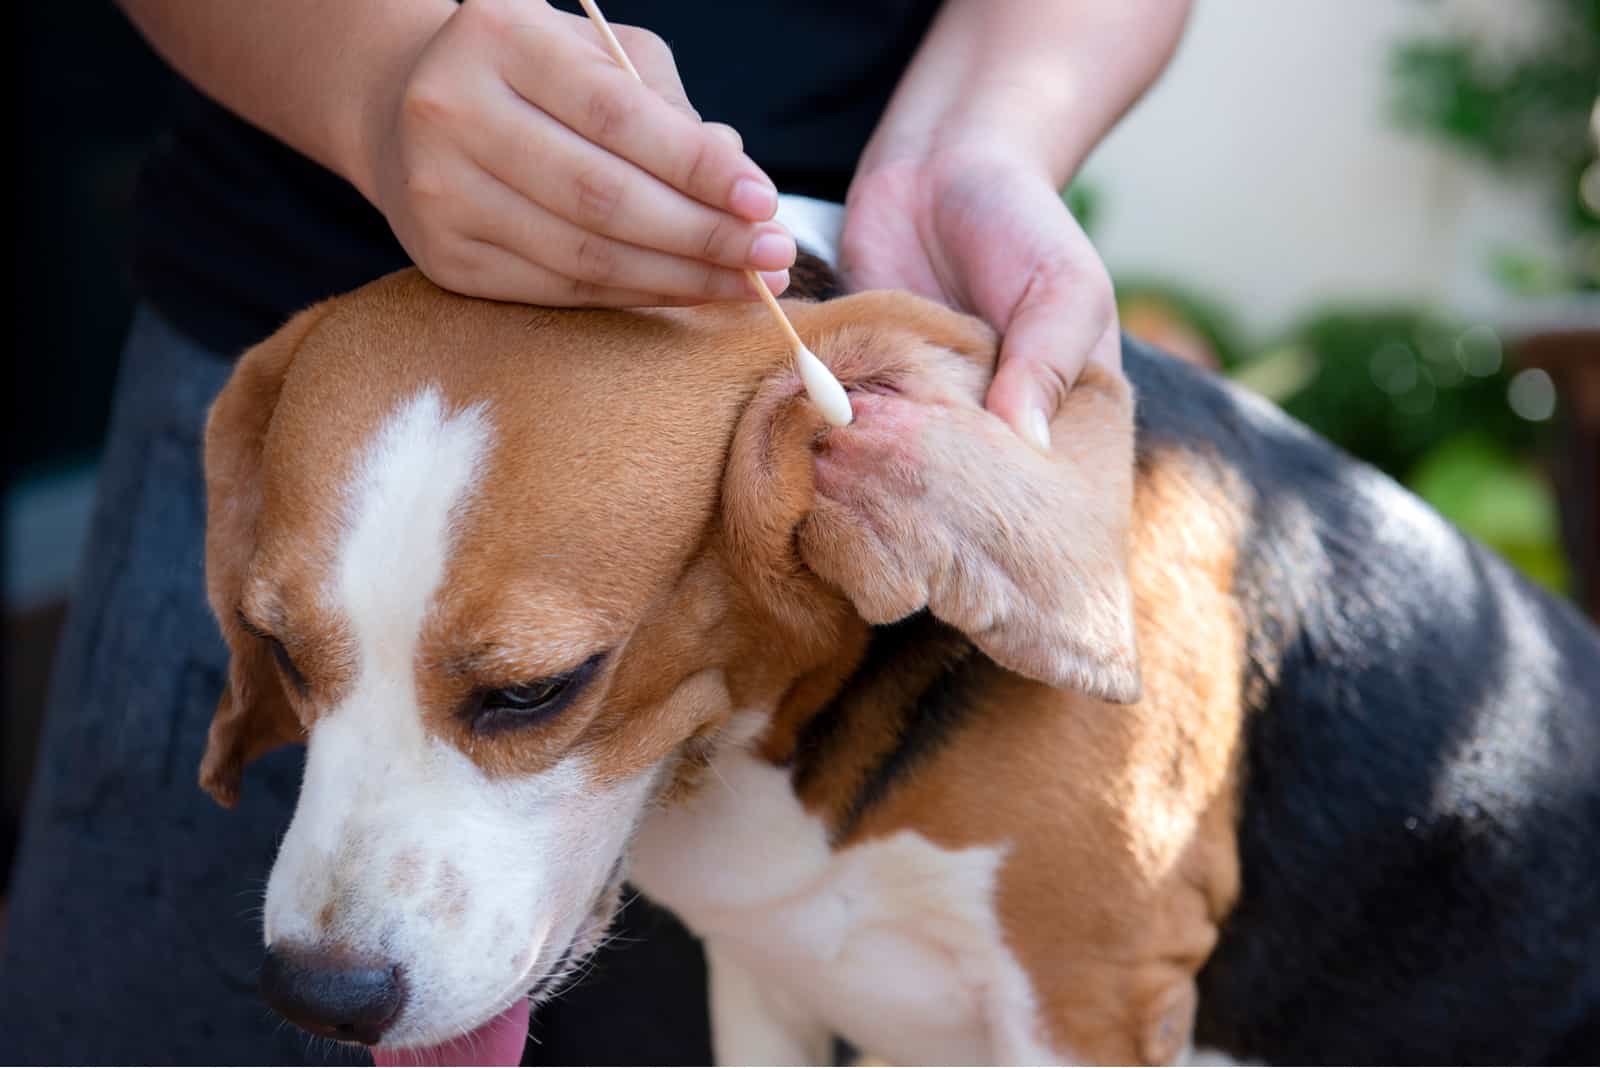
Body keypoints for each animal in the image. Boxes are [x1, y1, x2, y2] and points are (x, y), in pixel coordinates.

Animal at [200, 214, 1600, 1061]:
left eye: (537, 693)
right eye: (281, 654)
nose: (319, 997)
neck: (785, 757)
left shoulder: (1090, 1001)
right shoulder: (762, 976)